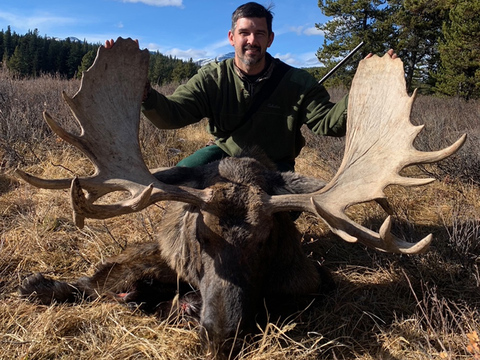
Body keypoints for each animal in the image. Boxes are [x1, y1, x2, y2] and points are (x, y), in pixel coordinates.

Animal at [17, 38, 464, 358]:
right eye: (200, 238)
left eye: (266, 240)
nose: (221, 334)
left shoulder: (311, 282)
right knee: (96, 279)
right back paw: (38, 284)